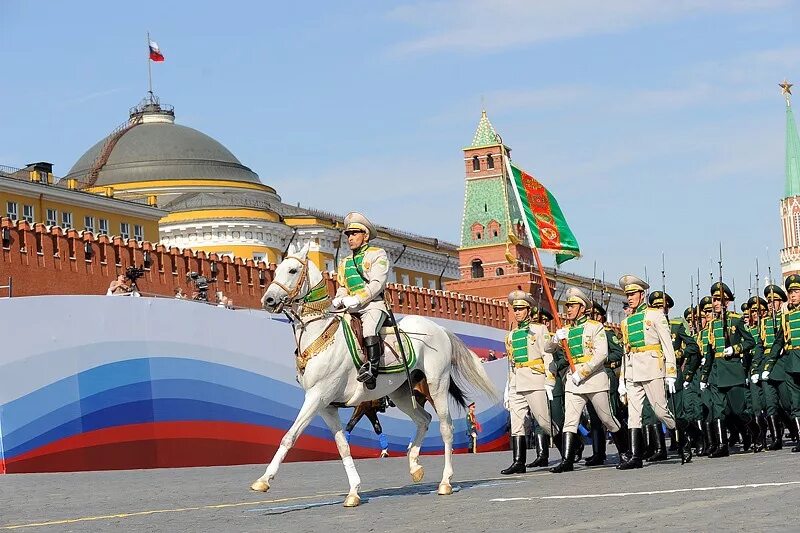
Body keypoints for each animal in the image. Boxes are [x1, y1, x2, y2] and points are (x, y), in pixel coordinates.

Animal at [253, 243, 496, 504]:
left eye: (293, 270)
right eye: (276, 269)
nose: (268, 299)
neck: (321, 335)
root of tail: (438, 327)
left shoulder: (317, 396)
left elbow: (290, 436)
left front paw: (264, 480)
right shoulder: (326, 406)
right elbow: (342, 445)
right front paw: (353, 491)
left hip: (436, 387)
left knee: (445, 427)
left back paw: (445, 481)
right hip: (402, 394)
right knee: (423, 420)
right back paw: (414, 465)